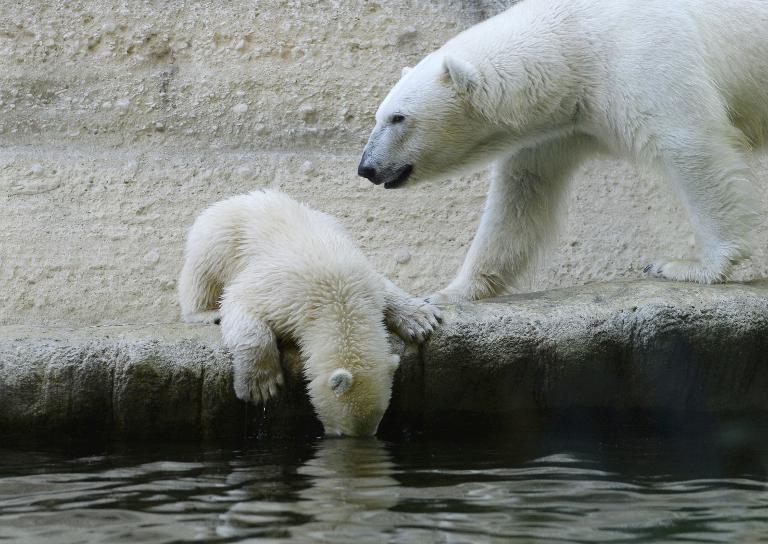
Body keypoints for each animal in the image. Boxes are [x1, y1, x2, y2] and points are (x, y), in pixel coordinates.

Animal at [358, 0, 768, 302]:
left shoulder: (644, 59)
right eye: (379, 115)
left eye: (398, 117)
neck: (577, 41)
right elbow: (522, 191)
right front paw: (448, 293)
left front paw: (690, 266)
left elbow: (691, 144)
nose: (366, 167)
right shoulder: (562, 124)